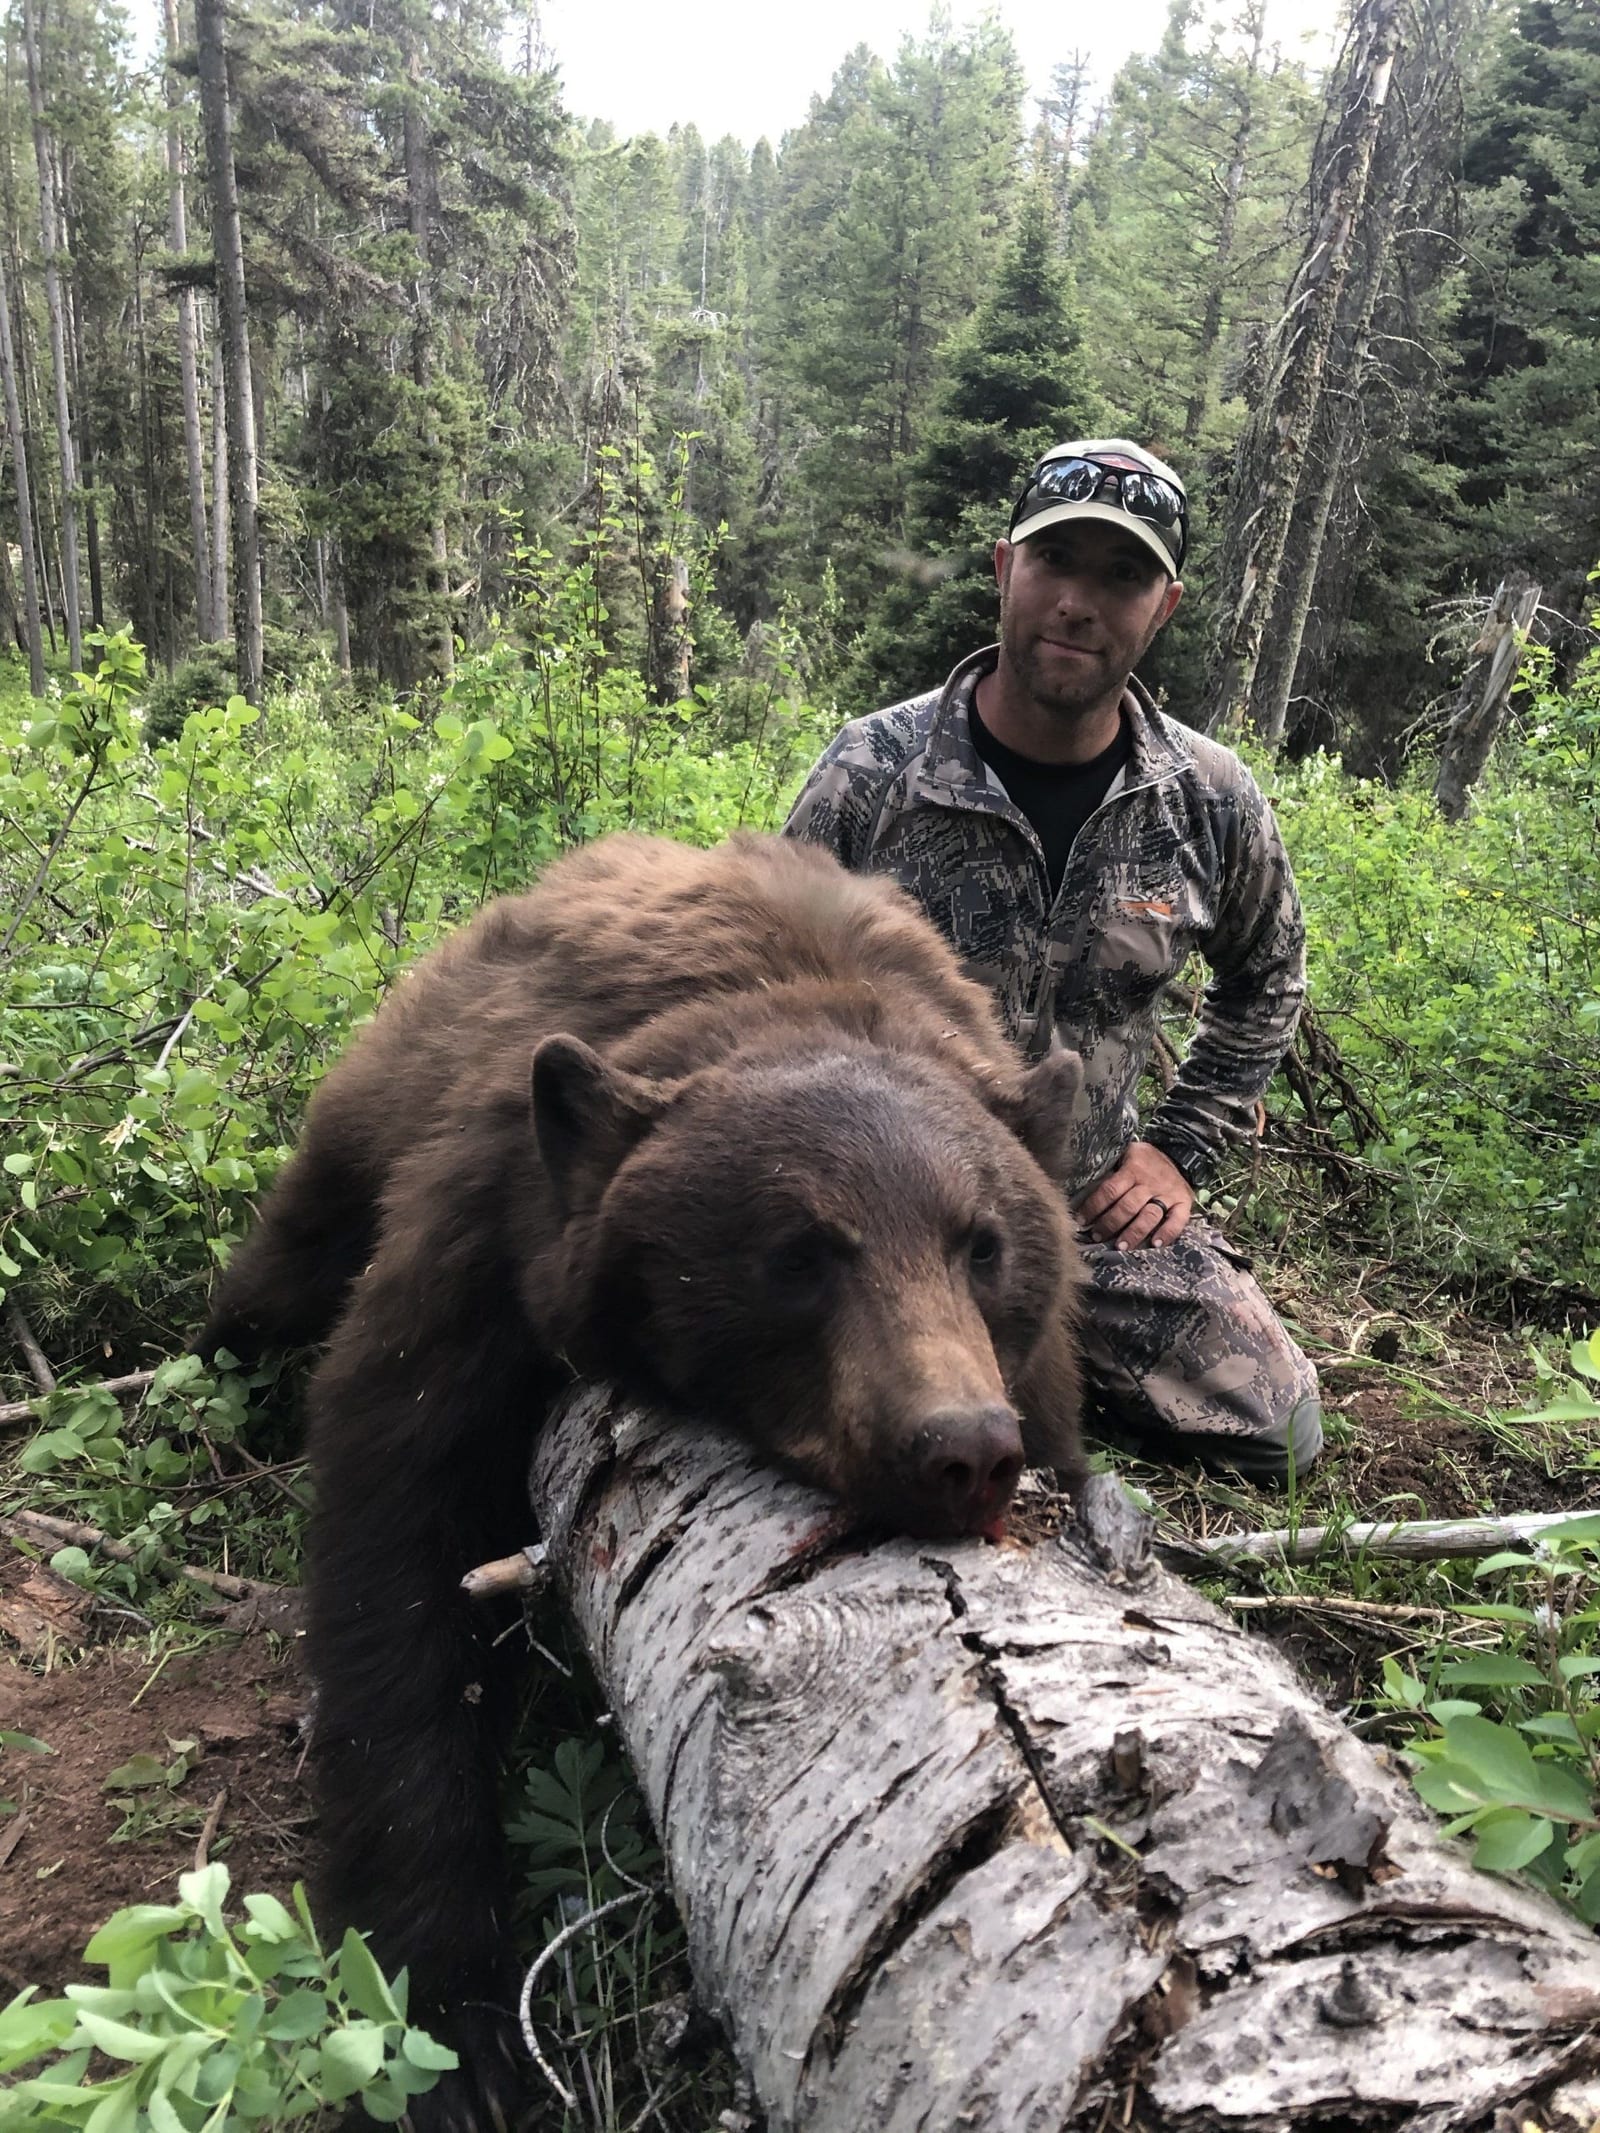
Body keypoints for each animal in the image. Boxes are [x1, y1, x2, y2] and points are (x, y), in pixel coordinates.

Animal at [201, 830, 1086, 2130]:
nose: (959, 1445)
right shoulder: (490, 1227)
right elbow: (398, 1540)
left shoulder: (1038, 1356)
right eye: (800, 1257)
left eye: (982, 1244)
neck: (792, 998)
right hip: (380, 1093)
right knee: (288, 1254)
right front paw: (450, 2031)